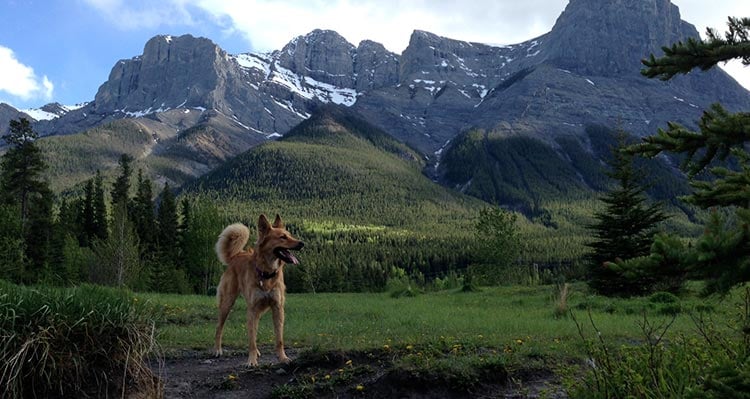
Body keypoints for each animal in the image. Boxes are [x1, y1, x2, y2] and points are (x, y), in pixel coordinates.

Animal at [213, 214, 304, 368]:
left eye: (290, 235)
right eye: (282, 237)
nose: (301, 243)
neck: (266, 273)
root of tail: (236, 255)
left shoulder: (277, 308)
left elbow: (279, 339)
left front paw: (283, 358)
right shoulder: (252, 309)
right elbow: (252, 339)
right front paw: (251, 360)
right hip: (227, 303)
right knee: (219, 327)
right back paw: (218, 350)